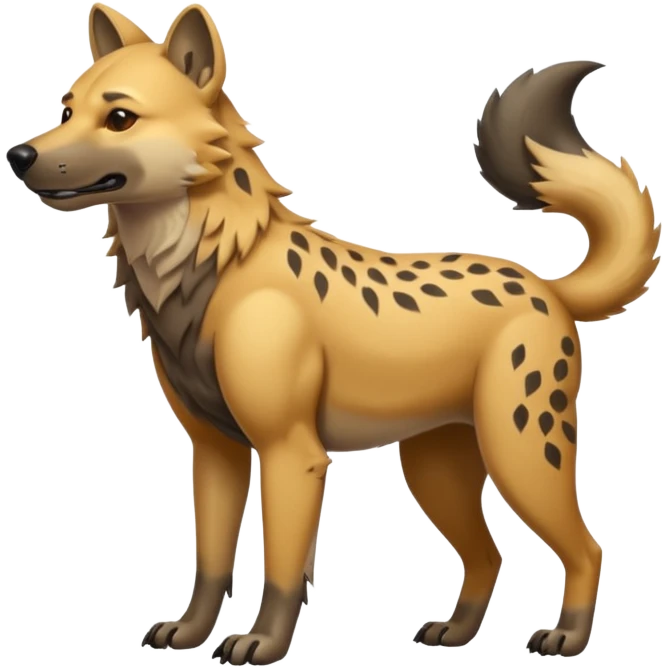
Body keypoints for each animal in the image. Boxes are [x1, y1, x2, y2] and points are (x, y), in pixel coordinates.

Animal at [6, 3, 661, 664]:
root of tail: (546, 287)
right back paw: (455, 633)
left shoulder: (291, 453)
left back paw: (567, 638)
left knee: (586, 547)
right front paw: (189, 635)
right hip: (436, 469)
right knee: (487, 554)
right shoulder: (215, 451)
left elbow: (281, 568)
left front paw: (261, 644)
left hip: (520, 451)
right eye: (66, 110)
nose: (19, 156)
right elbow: (211, 563)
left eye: (119, 117)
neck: (211, 268)